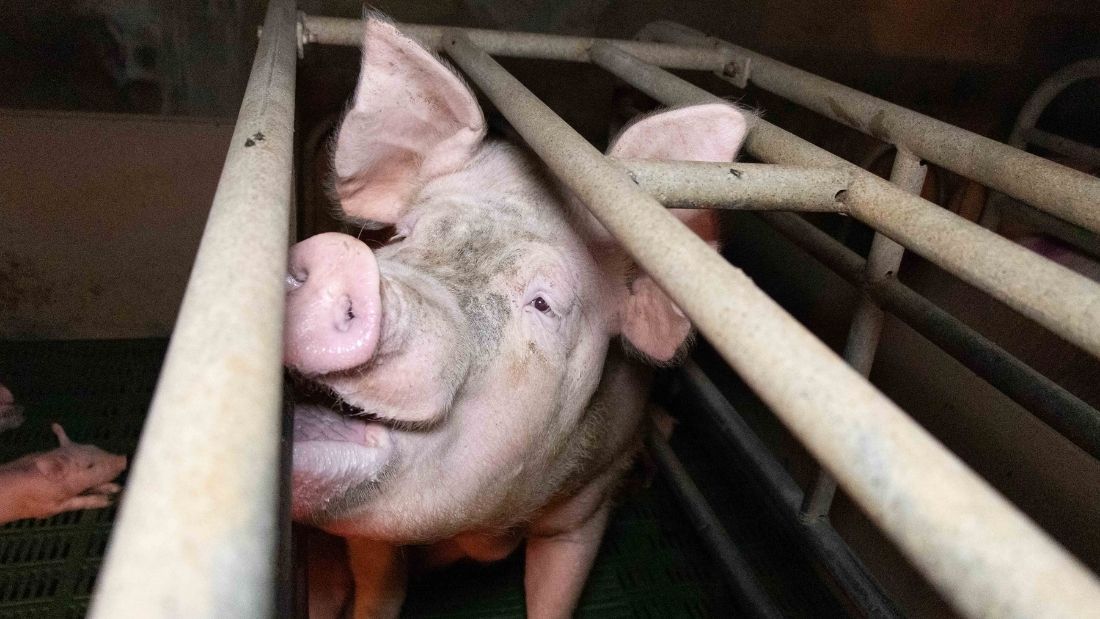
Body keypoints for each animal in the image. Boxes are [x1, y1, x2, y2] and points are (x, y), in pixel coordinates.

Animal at [283, 16, 748, 615]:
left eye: (544, 303)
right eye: (402, 236)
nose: (340, 258)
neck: (486, 526)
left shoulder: (587, 504)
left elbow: (555, 593)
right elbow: (380, 591)